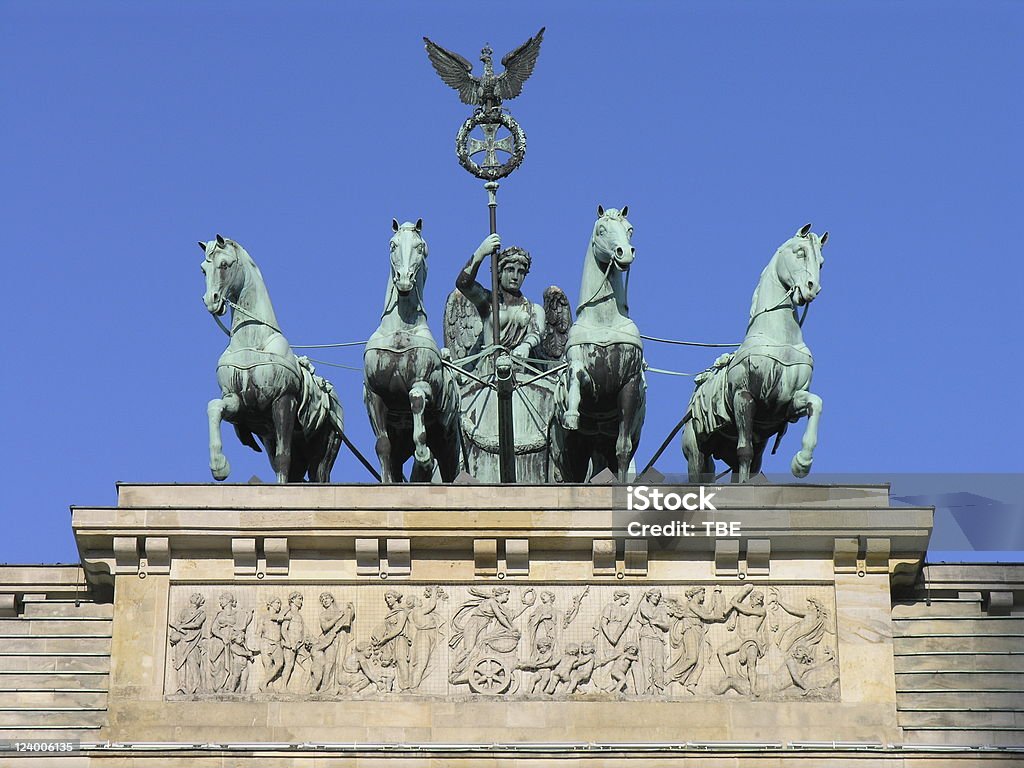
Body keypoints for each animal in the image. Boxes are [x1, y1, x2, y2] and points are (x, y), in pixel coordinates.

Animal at [199, 237, 344, 483]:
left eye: (225, 264)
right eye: (203, 269)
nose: (211, 301)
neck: (251, 341)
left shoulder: (283, 400)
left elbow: (282, 458)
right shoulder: (238, 402)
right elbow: (214, 406)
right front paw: (219, 466)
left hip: (324, 450)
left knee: (317, 474)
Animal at [364, 219, 460, 481]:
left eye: (420, 247)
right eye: (392, 245)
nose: (404, 279)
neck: (399, 331)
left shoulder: (425, 383)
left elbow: (416, 398)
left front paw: (424, 457)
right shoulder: (374, 396)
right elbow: (382, 445)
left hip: (448, 442)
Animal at [552, 204, 647, 481]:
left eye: (630, 229)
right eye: (602, 229)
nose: (624, 252)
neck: (604, 320)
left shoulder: (629, 384)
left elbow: (623, 450)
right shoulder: (589, 378)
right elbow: (575, 374)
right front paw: (571, 413)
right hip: (574, 446)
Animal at [684, 222, 827, 481]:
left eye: (820, 262)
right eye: (800, 252)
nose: (813, 289)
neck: (778, 337)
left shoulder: (786, 403)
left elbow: (816, 403)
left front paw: (802, 462)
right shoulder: (744, 397)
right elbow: (744, 451)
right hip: (695, 450)